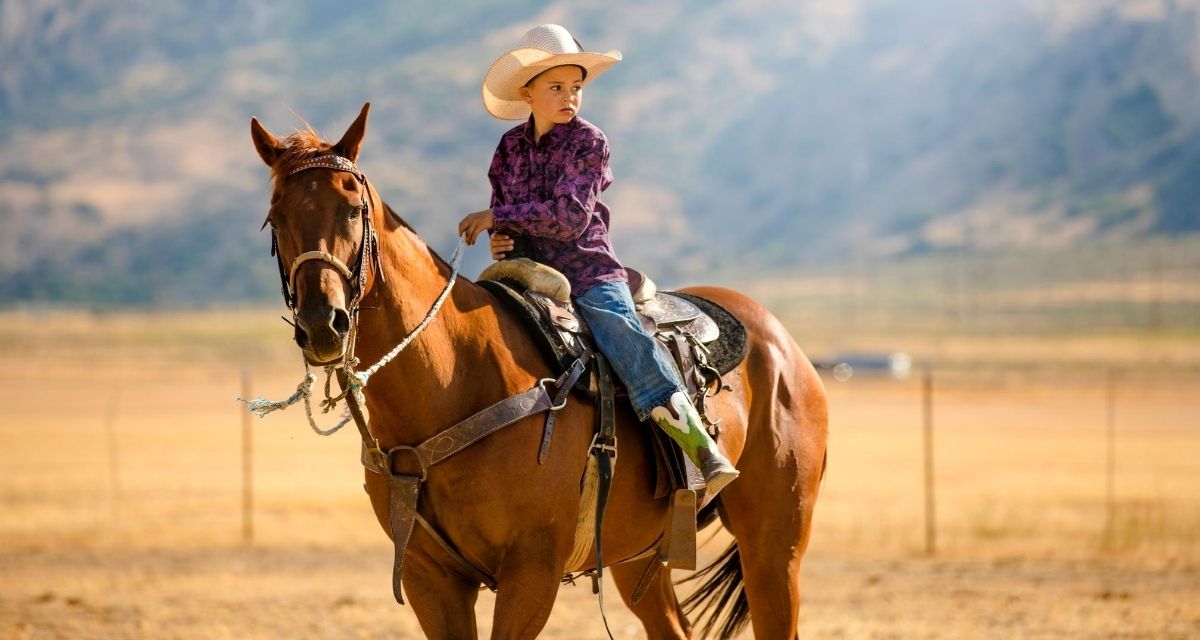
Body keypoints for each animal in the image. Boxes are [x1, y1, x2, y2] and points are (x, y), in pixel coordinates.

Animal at [248, 102, 830, 633]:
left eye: (353, 208)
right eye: (276, 218)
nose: (324, 324)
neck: (455, 381)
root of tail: (783, 346)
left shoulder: (531, 573)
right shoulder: (427, 578)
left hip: (774, 546)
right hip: (641, 556)